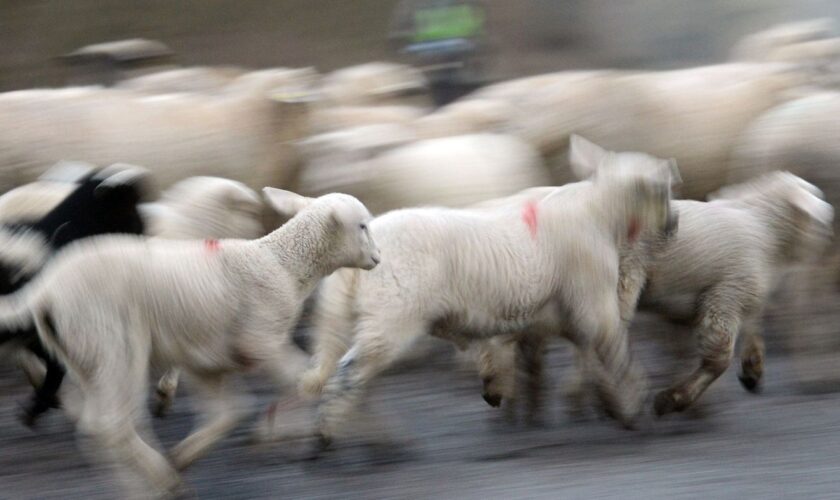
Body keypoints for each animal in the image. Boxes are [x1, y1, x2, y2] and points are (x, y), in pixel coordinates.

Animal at [0, 188, 378, 496]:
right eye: (362, 226)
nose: (377, 258)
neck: (281, 263)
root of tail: (45, 290)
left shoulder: (206, 358)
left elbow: (231, 411)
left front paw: (186, 455)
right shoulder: (259, 340)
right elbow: (306, 382)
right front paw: (319, 429)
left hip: (84, 354)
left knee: (98, 424)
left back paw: (152, 478)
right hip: (112, 343)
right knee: (110, 424)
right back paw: (159, 482)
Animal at [298, 137, 680, 450]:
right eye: (663, 189)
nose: (673, 225)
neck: (601, 214)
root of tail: (363, 246)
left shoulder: (555, 313)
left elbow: (564, 354)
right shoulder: (592, 299)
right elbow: (615, 352)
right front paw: (633, 406)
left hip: (357, 315)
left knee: (353, 373)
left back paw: (368, 434)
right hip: (392, 314)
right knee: (350, 372)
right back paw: (326, 437)